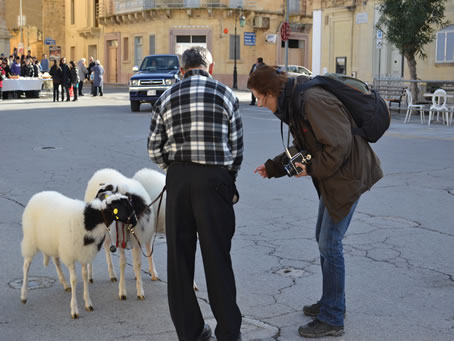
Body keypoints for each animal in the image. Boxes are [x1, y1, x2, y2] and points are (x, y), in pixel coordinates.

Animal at [20, 190, 136, 318]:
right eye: (125, 206)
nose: (135, 221)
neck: (90, 220)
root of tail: (38, 195)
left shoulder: (84, 253)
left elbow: (85, 276)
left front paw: (88, 304)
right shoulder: (70, 254)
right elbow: (74, 279)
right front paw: (74, 310)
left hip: (53, 243)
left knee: (56, 260)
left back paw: (65, 284)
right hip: (30, 240)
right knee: (26, 266)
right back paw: (24, 296)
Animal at [84, 166, 159, 298]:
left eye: (117, 206)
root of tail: (101, 171)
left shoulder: (136, 240)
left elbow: (137, 263)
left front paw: (140, 291)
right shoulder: (120, 240)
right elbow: (123, 262)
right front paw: (122, 292)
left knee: (106, 245)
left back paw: (112, 275)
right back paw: (90, 276)